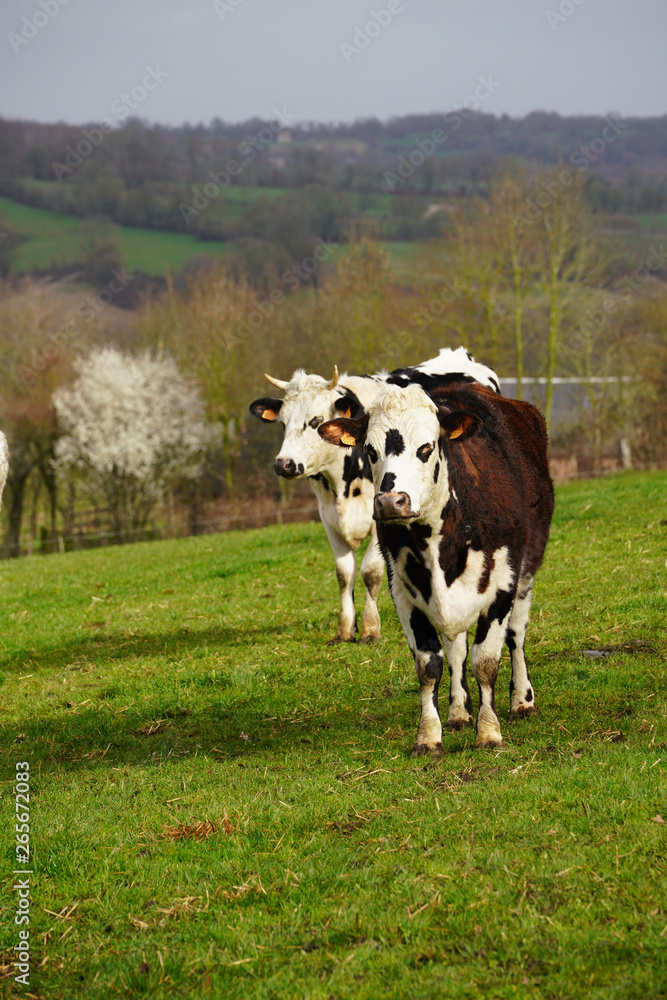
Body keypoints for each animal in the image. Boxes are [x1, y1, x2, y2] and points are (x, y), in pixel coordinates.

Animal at [250, 349, 500, 645]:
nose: (284, 464)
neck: (342, 484)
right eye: (283, 423)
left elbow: (370, 571)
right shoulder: (327, 515)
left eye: (315, 421)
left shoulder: (381, 515)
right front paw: (346, 629)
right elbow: (343, 573)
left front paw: (370, 629)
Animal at [319, 380, 554, 754]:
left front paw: (489, 732)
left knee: (516, 634)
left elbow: (486, 661)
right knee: (456, 647)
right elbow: (429, 664)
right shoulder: (403, 592)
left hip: (527, 572)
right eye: (370, 451)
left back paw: (522, 700)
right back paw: (458, 711)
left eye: (426, 447)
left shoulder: (503, 584)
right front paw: (429, 736)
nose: (391, 501)